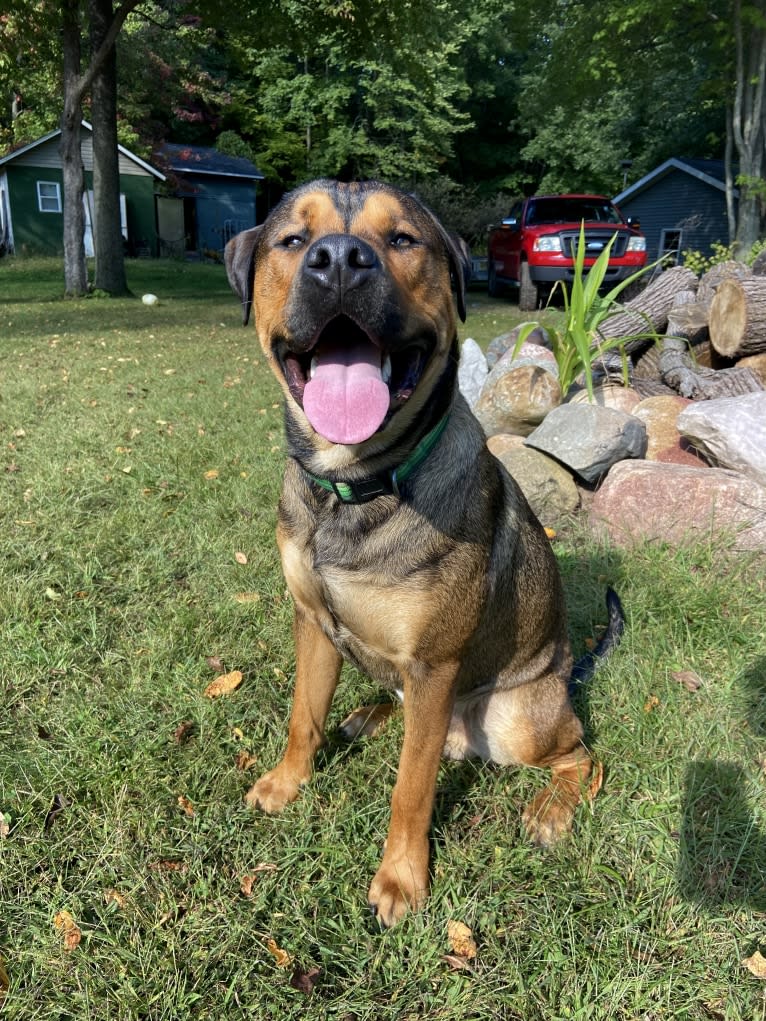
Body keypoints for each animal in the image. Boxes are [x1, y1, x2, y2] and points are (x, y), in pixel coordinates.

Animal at [224, 179, 620, 931]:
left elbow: (412, 785)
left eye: (402, 239)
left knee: (581, 751)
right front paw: (287, 783)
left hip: (517, 719)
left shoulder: (435, 664)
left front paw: (402, 880)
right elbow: (302, 718)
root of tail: (566, 673)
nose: (339, 261)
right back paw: (366, 717)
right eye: (293, 240)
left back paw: (551, 808)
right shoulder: (312, 621)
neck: (355, 487)